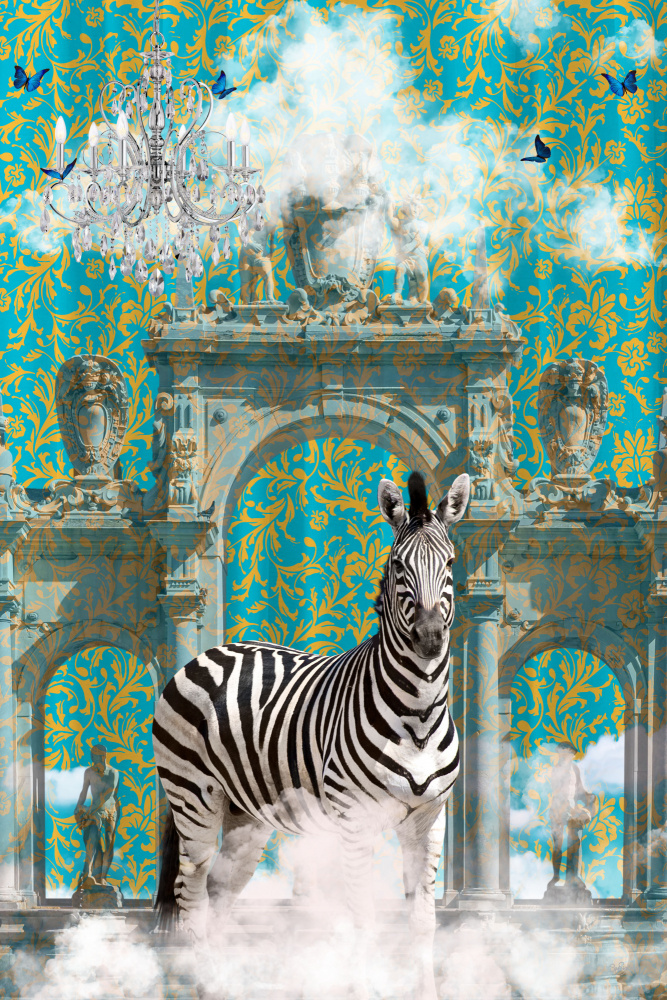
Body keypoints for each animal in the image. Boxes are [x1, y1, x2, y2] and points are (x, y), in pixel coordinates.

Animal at [153, 469, 469, 1000]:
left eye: (448, 563)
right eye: (398, 566)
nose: (429, 638)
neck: (419, 716)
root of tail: (210, 651)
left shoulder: (429, 818)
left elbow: (422, 921)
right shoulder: (354, 820)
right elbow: (362, 920)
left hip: (246, 815)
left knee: (218, 894)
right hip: (192, 795)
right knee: (190, 898)